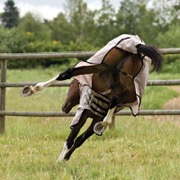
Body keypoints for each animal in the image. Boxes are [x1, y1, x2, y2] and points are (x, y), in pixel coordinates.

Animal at [22, 34, 163, 161]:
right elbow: (74, 138)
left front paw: (63, 158)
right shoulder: (85, 114)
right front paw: (62, 158)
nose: (64, 107)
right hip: (106, 68)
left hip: (121, 80)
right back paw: (31, 89)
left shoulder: (91, 117)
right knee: (69, 72)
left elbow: (78, 139)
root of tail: (137, 46)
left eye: (72, 85)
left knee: (73, 74)